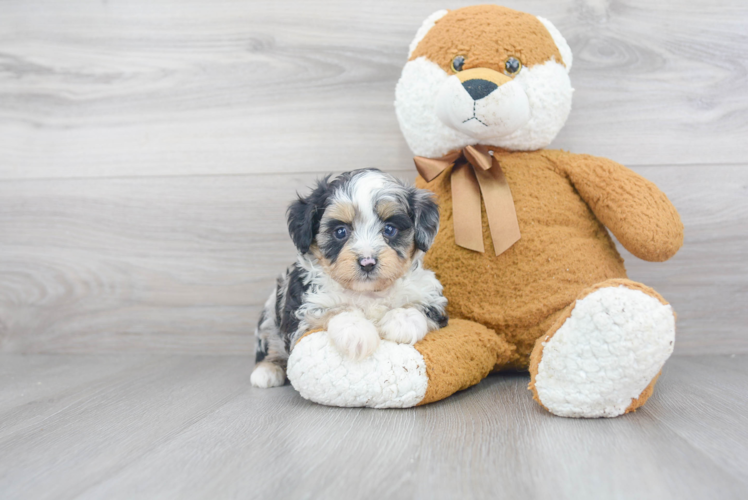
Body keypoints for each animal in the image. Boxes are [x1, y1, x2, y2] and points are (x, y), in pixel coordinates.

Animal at [251, 168, 450, 386]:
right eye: (340, 232)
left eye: (390, 229)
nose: (367, 262)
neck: (368, 292)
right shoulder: (301, 314)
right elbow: (336, 310)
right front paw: (357, 331)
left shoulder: (431, 297)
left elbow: (419, 306)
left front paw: (403, 321)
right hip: (270, 310)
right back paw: (267, 370)